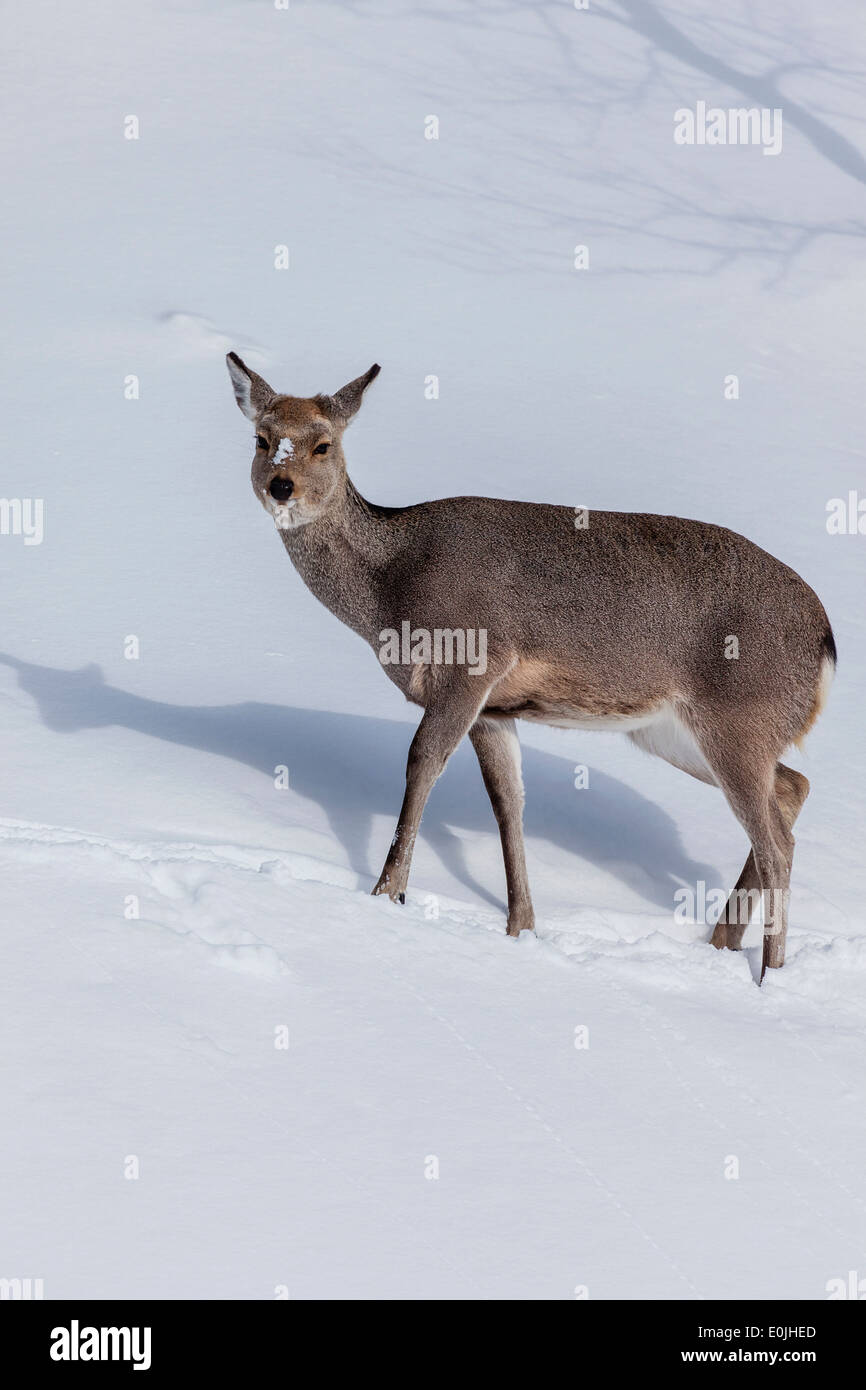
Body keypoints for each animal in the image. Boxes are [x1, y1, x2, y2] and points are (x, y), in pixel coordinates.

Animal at [226, 347, 839, 978]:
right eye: (261, 438)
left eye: (323, 444)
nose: (280, 485)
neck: (391, 588)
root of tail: (825, 638)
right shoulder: (497, 708)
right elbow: (508, 804)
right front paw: (521, 927)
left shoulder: (472, 662)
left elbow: (422, 764)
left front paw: (387, 894)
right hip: (674, 731)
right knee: (793, 787)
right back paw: (723, 944)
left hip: (739, 720)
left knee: (777, 843)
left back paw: (770, 977)